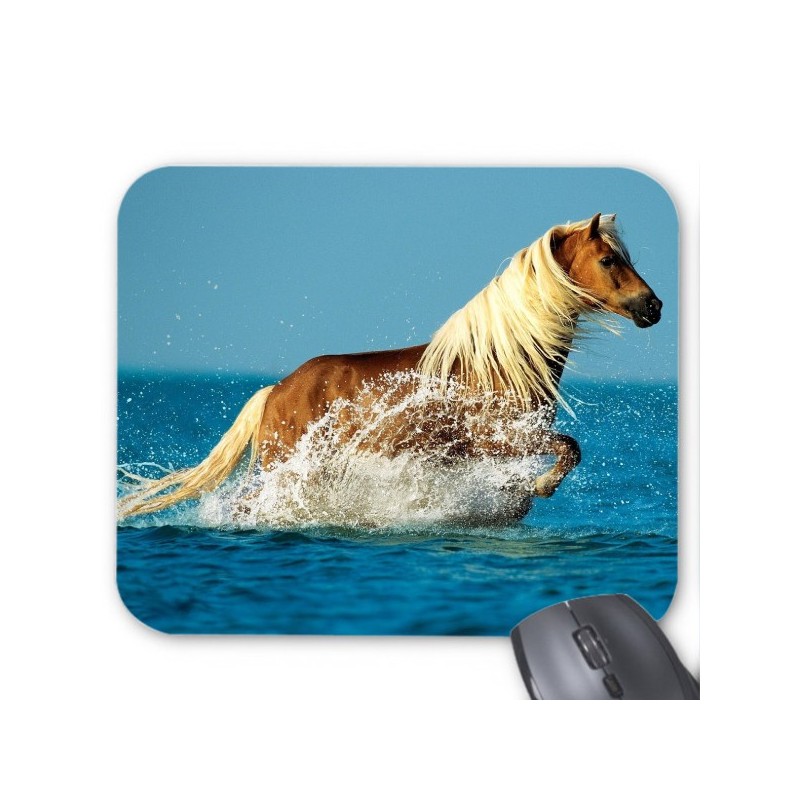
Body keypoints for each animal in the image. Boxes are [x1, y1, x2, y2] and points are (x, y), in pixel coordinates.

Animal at [117, 213, 662, 521]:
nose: (652, 307)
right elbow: (570, 449)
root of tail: (275, 390)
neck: (500, 362)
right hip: (286, 469)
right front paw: (543, 486)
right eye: (609, 260)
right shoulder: (501, 439)